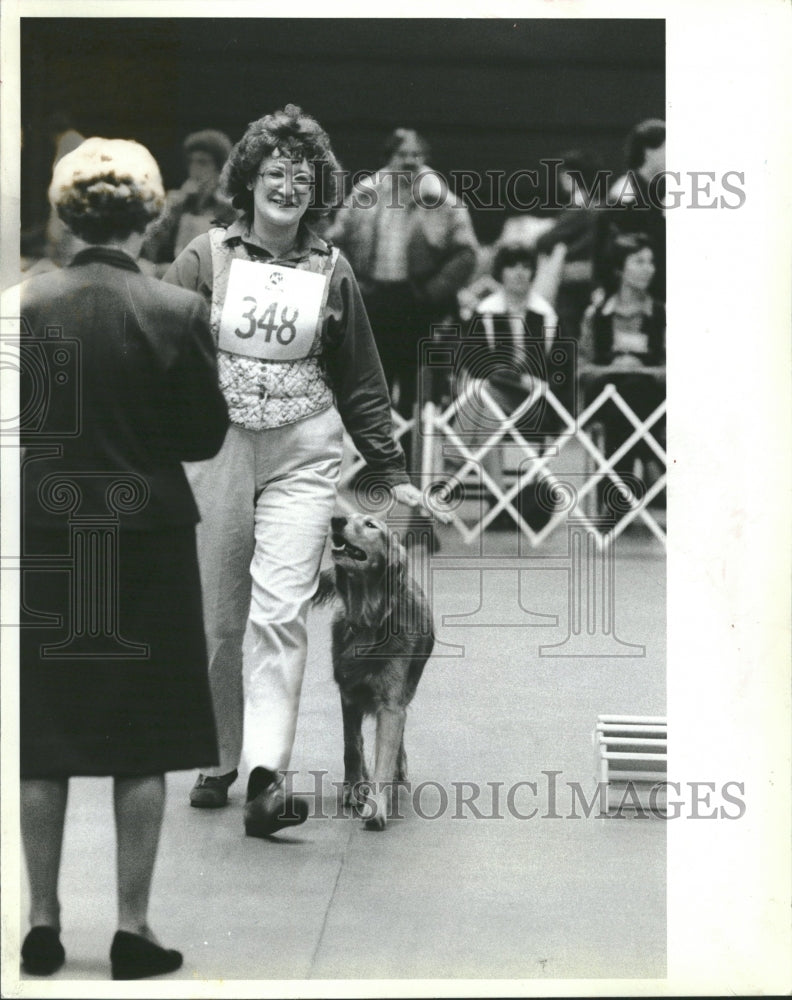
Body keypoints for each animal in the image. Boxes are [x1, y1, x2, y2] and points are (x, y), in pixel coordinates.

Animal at [316, 512, 436, 832]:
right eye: (348, 516)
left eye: (371, 525)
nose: (336, 519)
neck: (368, 621)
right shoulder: (348, 693)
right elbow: (353, 746)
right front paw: (354, 789)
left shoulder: (392, 704)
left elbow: (385, 752)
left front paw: (376, 807)